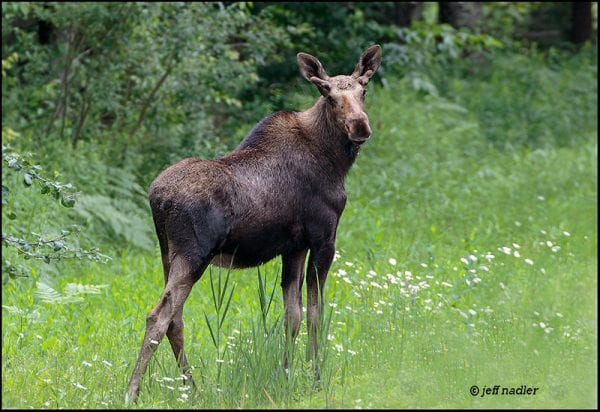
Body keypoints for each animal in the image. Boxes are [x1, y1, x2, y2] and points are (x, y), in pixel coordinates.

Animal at [125, 45, 384, 402]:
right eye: (329, 95)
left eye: (364, 90)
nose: (359, 126)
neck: (335, 162)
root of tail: (156, 197)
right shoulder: (324, 239)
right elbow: (316, 314)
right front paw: (316, 379)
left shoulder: (294, 247)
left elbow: (292, 315)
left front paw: (287, 377)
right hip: (194, 254)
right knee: (158, 316)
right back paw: (133, 392)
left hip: (167, 253)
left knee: (175, 318)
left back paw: (193, 388)